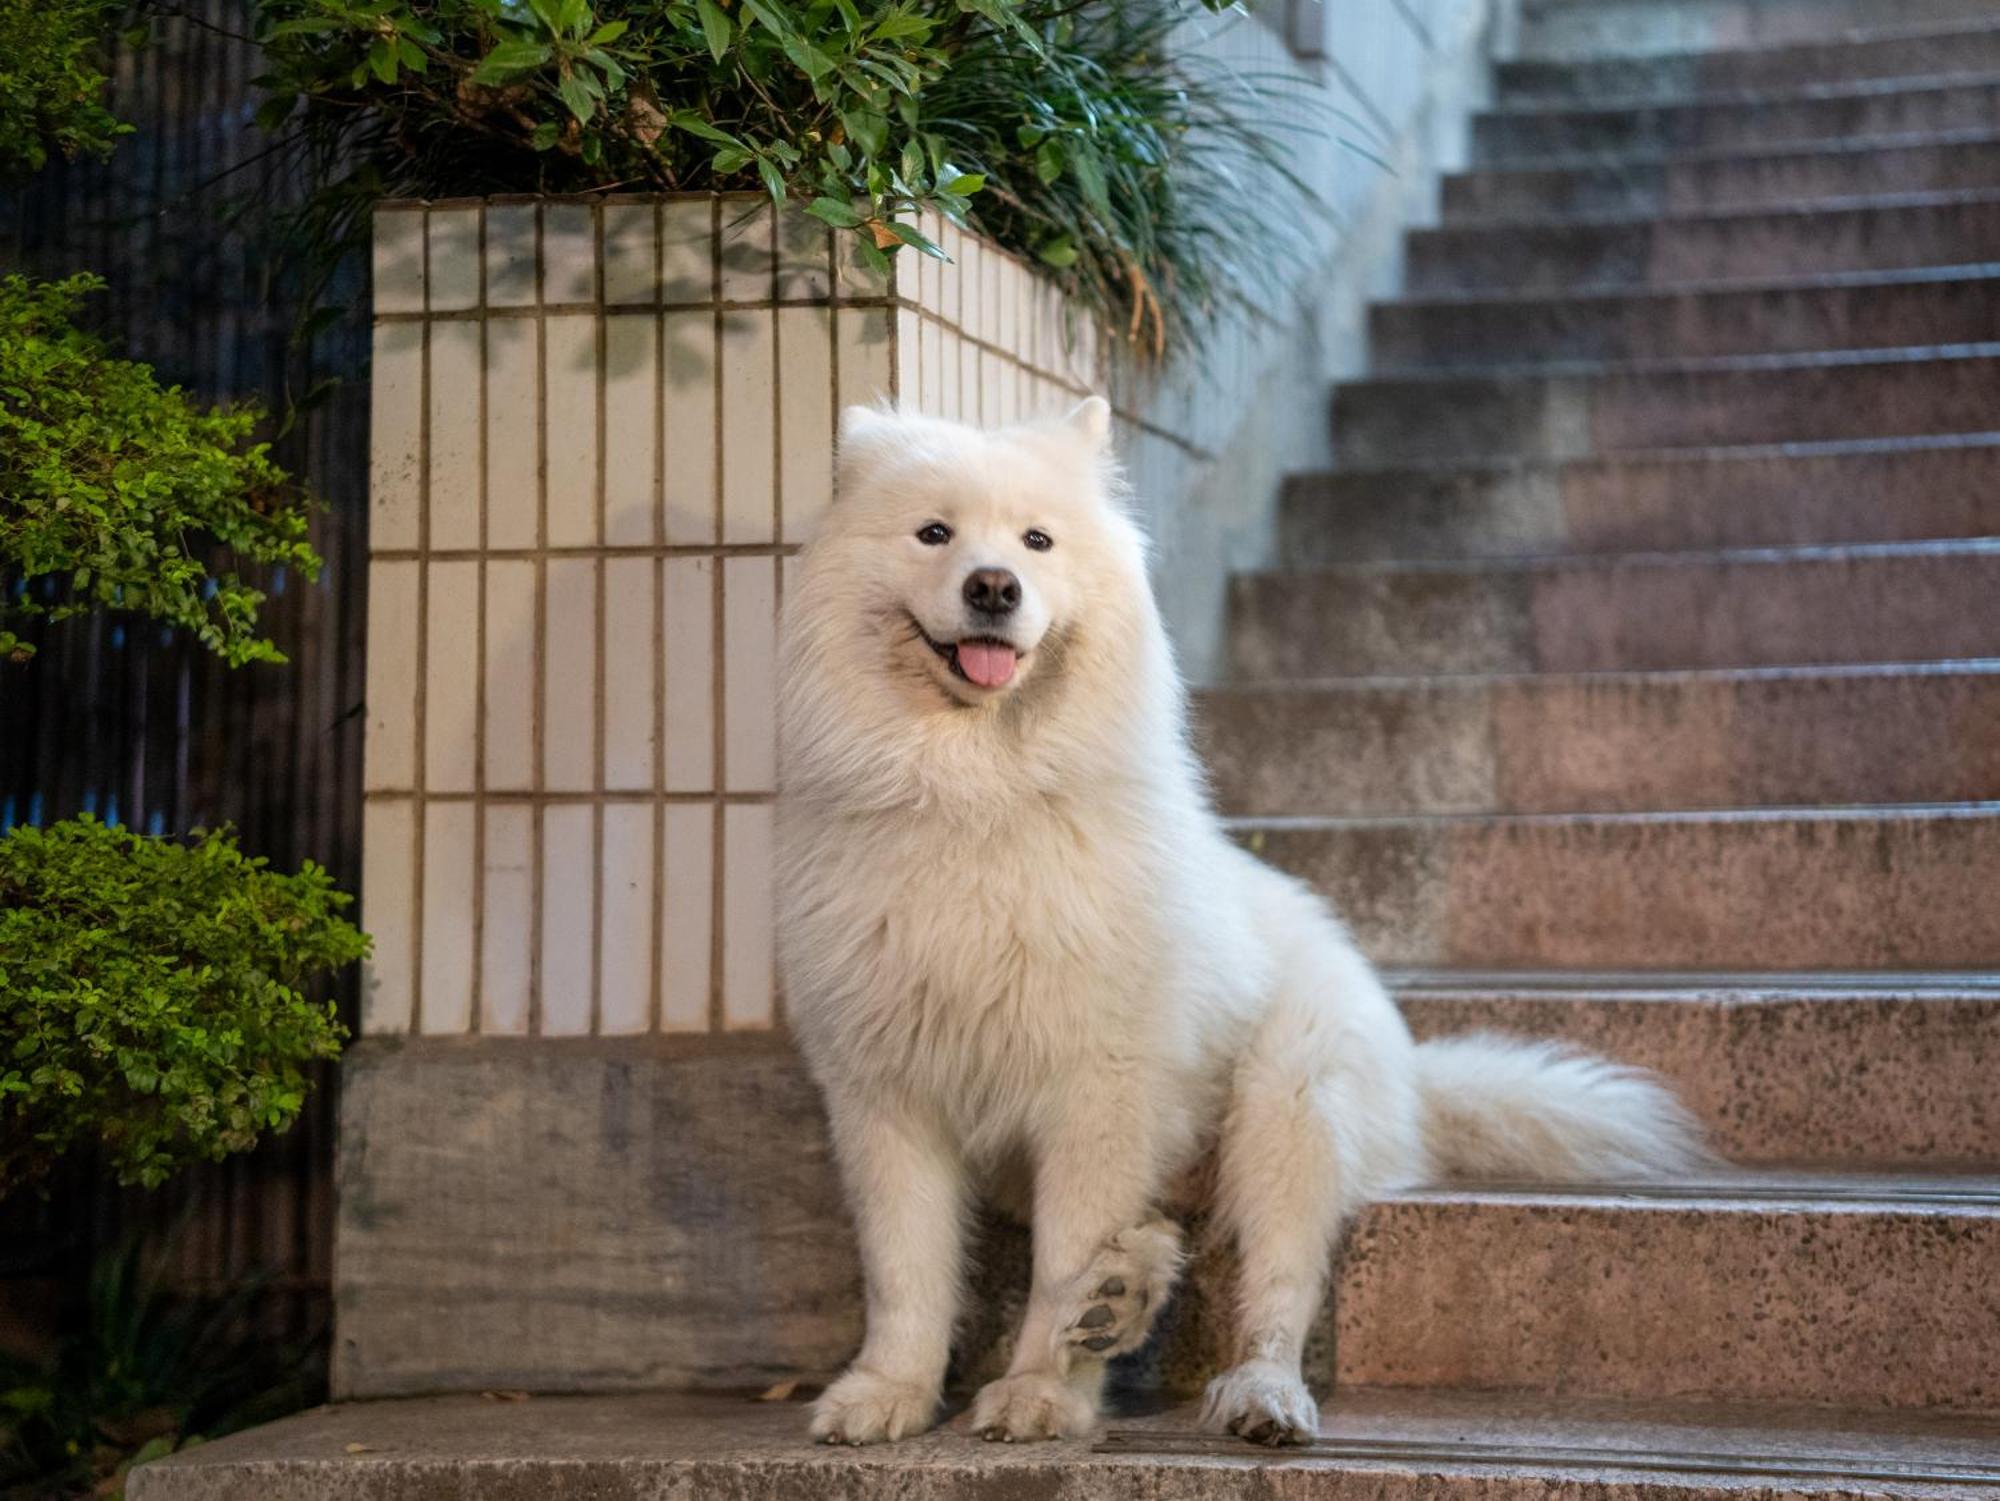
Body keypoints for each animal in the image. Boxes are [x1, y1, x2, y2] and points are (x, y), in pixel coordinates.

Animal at [772, 396, 1696, 1448]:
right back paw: (1128, 1291)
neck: (975, 796)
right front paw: (888, 1391)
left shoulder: (1096, 1088)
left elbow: (1061, 1260)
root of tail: (1416, 1076)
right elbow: (907, 1273)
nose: (995, 586)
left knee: (1277, 1289)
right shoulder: (885, 1096)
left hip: (1288, 1101)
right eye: (935, 534)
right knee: (1165, 1238)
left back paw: (1253, 1391)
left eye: (1037, 541)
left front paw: (1044, 1392)